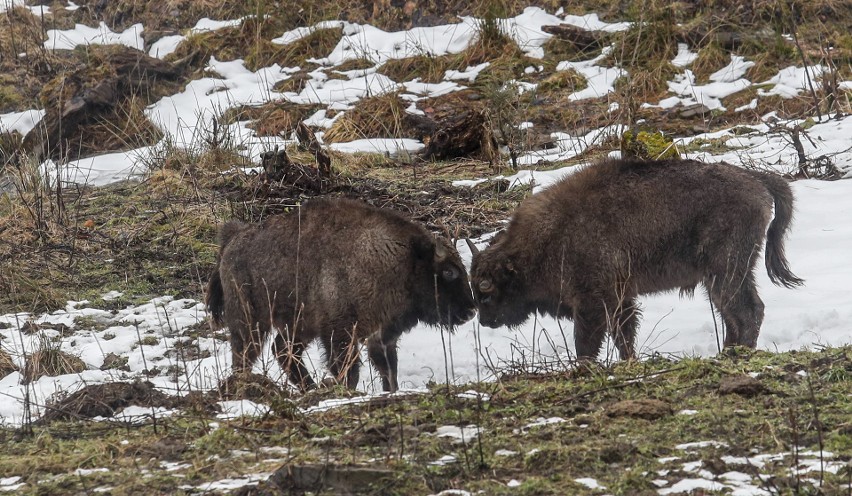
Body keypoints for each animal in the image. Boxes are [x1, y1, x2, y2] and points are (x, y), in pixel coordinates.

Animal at [204, 196, 476, 394]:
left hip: (299, 326)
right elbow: (350, 371)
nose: (471, 310)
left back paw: (309, 388)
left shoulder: (381, 334)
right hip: (251, 322)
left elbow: (388, 369)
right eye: (449, 271)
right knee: (245, 357)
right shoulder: (340, 333)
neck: (402, 258)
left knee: (282, 350)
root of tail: (232, 241)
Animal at [470, 159, 804, 360]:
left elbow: (587, 342)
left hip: (728, 269)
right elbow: (624, 336)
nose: (484, 321)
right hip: (720, 277)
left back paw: (736, 354)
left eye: (487, 291)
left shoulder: (593, 302)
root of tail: (755, 179)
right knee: (732, 313)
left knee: (748, 310)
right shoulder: (621, 298)